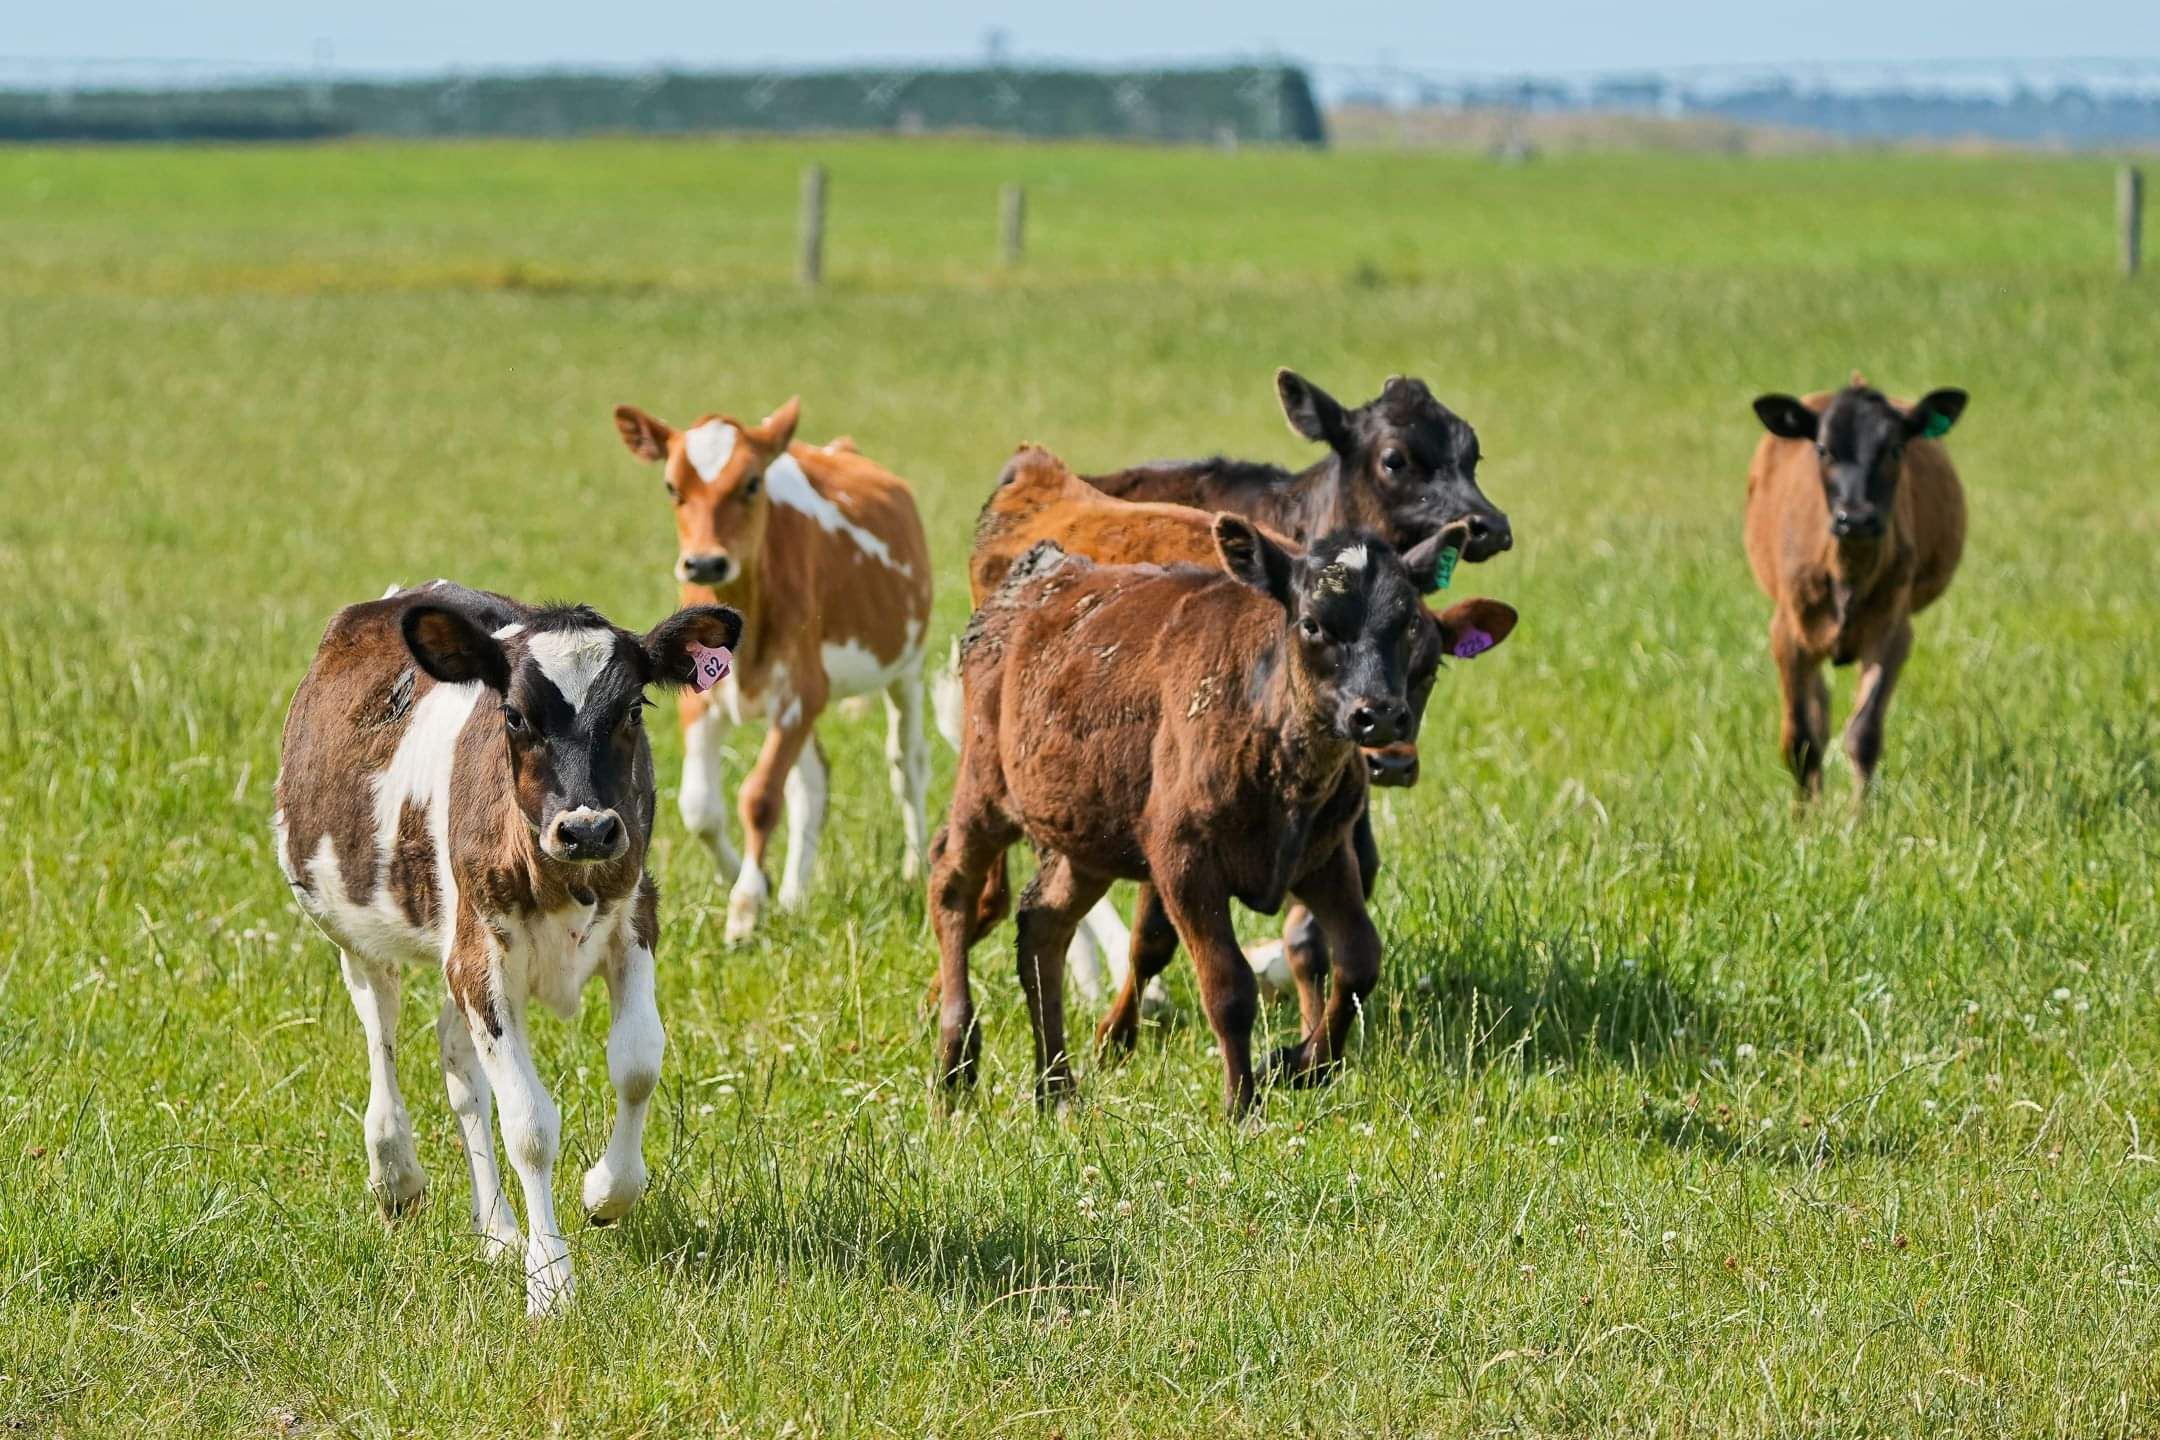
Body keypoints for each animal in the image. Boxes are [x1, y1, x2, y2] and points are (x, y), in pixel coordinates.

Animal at [275, 580, 741, 1314]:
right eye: (516, 715)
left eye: (633, 708)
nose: (588, 829)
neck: (561, 880)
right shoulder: (479, 959)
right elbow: (530, 1124)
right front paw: (549, 1279)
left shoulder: (634, 920)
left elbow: (637, 1064)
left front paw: (606, 1191)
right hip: (358, 930)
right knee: (381, 1032)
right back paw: (396, 1175)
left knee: (460, 1069)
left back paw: (496, 1231)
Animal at [614, 397, 934, 942]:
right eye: (672, 487)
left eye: (750, 484)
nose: (705, 563)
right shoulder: (702, 702)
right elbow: (700, 808)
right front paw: (747, 882)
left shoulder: (799, 695)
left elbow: (760, 798)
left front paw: (745, 907)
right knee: (812, 783)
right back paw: (792, 895)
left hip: (904, 669)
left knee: (906, 762)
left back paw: (917, 866)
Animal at [932, 524, 1437, 1119]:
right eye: (1313, 622)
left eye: (1407, 622)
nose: (1377, 714)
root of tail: (1042, 570)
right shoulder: (1183, 860)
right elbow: (1228, 985)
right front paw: (1242, 1106)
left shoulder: (1325, 856)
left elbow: (1359, 960)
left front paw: (1297, 1063)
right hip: (984, 790)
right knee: (951, 886)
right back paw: (956, 1058)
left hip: (1087, 835)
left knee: (1042, 924)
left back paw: (1057, 1089)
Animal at [1745, 376, 1969, 800]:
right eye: (1823, 449)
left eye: (1895, 448)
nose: (1857, 518)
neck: (1847, 573)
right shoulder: (1785, 631)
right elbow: (1800, 741)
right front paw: (1805, 817)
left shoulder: (1892, 632)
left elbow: (1863, 735)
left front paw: (1858, 817)